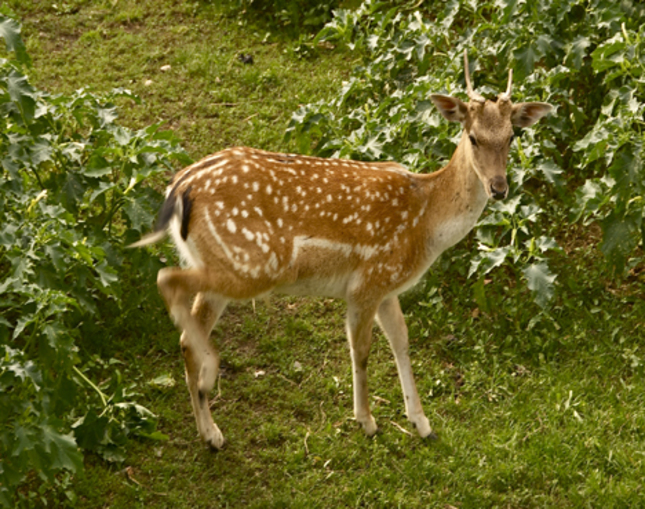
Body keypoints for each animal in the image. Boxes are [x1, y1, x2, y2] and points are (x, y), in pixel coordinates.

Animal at [131, 52, 552, 448]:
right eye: (473, 137)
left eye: (512, 137)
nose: (499, 187)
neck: (426, 222)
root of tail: (179, 189)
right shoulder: (367, 282)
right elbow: (361, 349)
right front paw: (366, 421)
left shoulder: (388, 287)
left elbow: (402, 342)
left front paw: (422, 424)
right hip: (254, 263)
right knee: (167, 281)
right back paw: (212, 377)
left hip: (223, 264)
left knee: (186, 331)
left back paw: (211, 432)